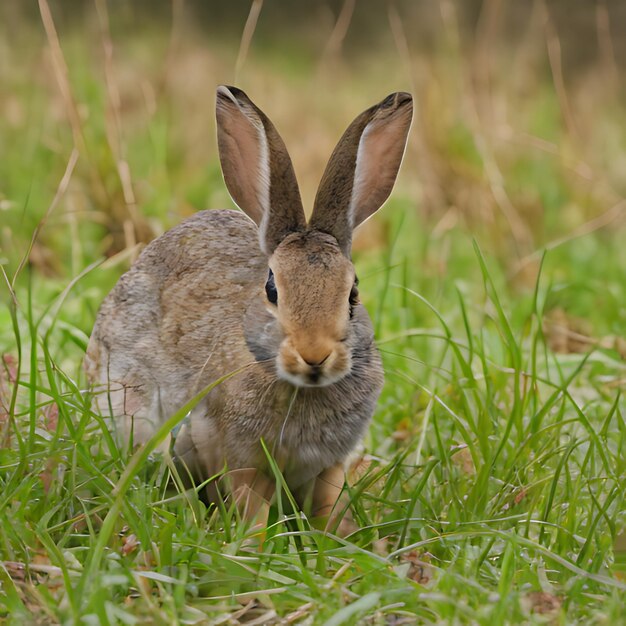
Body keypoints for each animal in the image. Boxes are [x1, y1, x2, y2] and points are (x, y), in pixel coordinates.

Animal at [85, 85, 412, 528]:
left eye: (353, 293)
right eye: (272, 289)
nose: (314, 354)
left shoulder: (329, 465)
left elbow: (328, 503)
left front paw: (336, 537)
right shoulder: (237, 458)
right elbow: (251, 506)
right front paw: (253, 541)